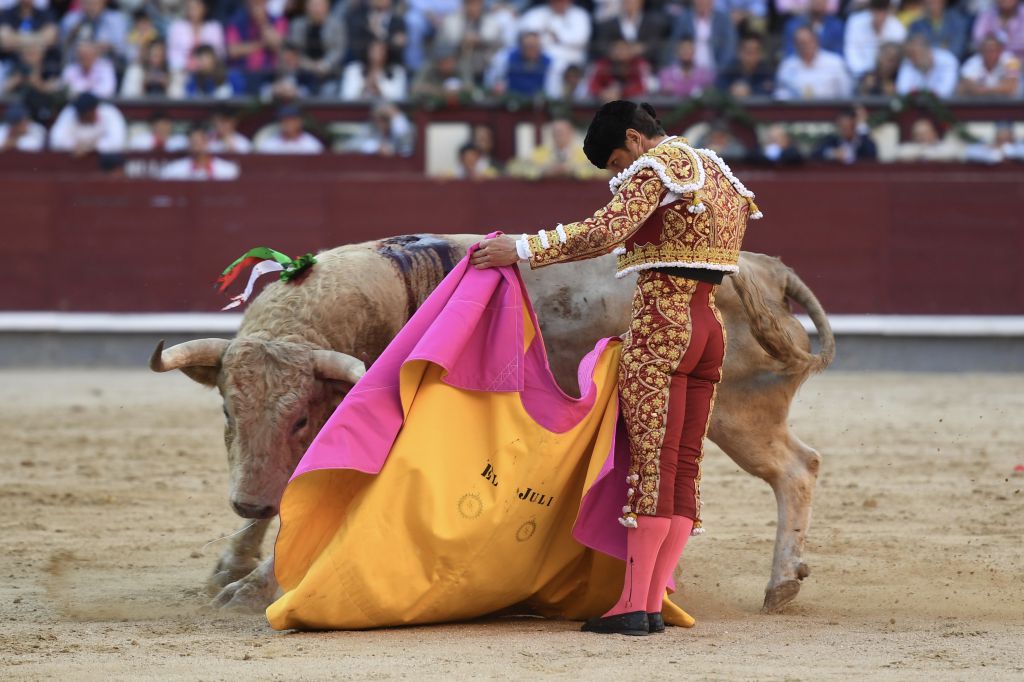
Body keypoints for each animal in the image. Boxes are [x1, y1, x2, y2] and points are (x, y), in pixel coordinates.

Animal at [150, 234, 834, 614]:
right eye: (226, 410)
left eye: (298, 418)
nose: (246, 503)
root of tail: (762, 270)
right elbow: (286, 494)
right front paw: (231, 564)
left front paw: (252, 588)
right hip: (735, 414)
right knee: (793, 465)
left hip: (729, 414)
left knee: (793, 469)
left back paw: (774, 582)